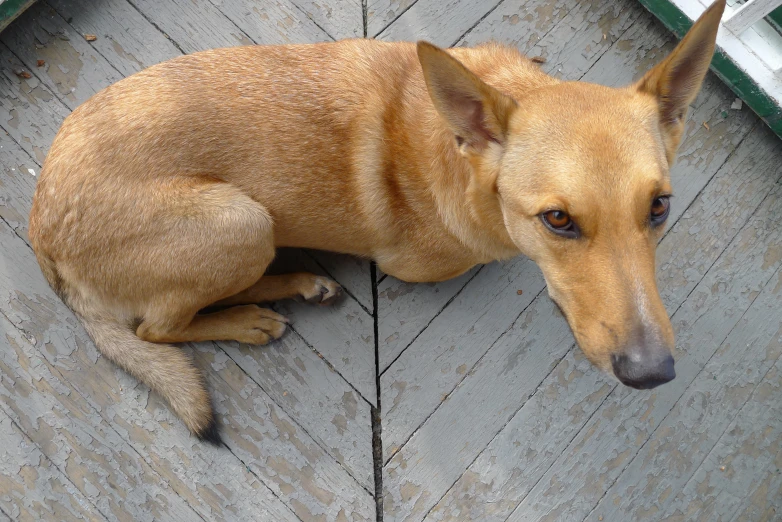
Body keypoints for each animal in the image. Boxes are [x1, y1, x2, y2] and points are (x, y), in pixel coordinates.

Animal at [29, 0, 728, 440]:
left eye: (659, 207)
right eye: (558, 219)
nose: (652, 374)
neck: (459, 154)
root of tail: (41, 233)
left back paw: (297, 285)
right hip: (242, 220)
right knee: (160, 328)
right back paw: (255, 314)